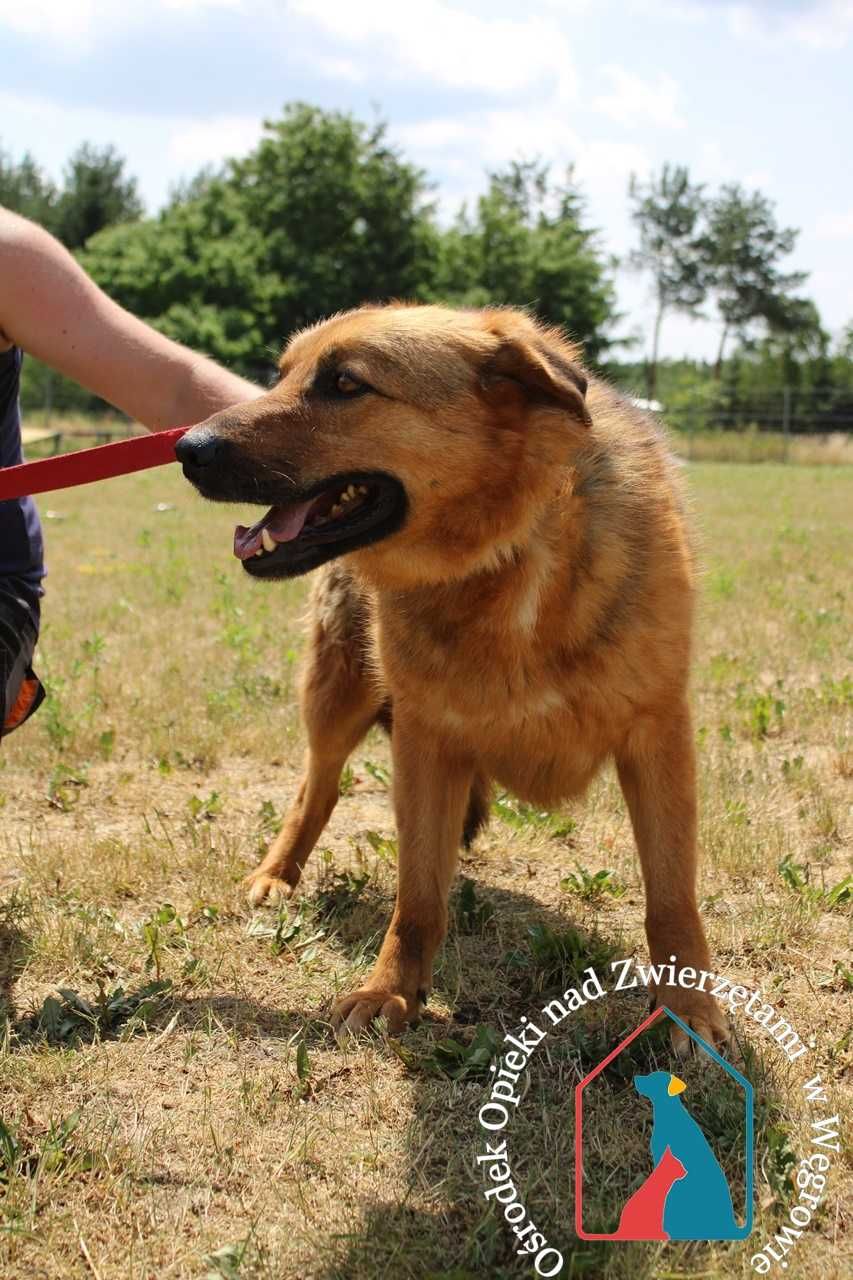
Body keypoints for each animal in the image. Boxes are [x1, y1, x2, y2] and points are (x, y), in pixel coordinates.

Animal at [174, 302, 722, 1049]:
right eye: (280, 376)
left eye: (344, 384)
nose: (186, 448)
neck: (509, 551)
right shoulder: (425, 742)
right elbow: (417, 897)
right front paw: (389, 990)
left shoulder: (657, 735)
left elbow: (671, 896)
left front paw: (690, 1008)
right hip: (336, 699)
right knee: (316, 790)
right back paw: (275, 875)